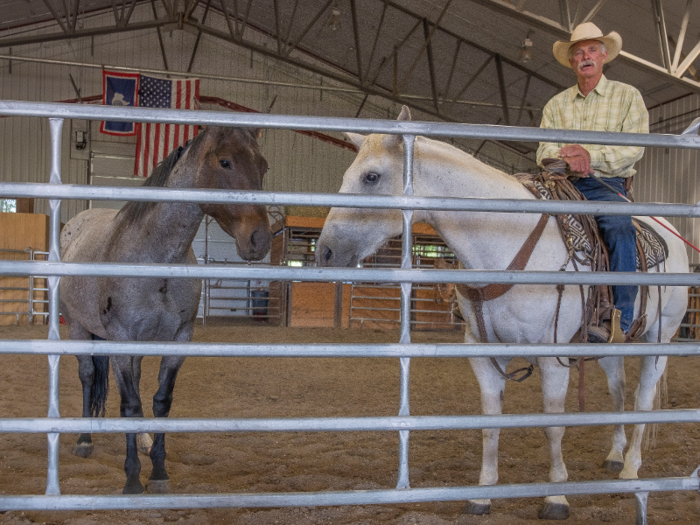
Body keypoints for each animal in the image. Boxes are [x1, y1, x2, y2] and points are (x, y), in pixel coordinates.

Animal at [59, 125, 270, 494]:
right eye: (225, 162)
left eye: (264, 166)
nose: (260, 238)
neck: (156, 261)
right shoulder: (121, 340)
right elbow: (129, 405)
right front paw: (132, 479)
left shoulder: (177, 341)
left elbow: (160, 402)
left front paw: (157, 472)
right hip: (78, 328)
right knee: (87, 377)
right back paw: (84, 440)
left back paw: (142, 441)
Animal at [318, 105, 688, 516]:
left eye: (371, 176)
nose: (325, 253)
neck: (507, 240)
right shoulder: (483, 352)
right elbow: (489, 424)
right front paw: (482, 495)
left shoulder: (553, 356)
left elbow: (553, 425)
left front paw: (556, 497)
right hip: (611, 344)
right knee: (619, 392)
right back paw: (615, 457)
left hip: (660, 337)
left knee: (643, 397)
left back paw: (631, 471)